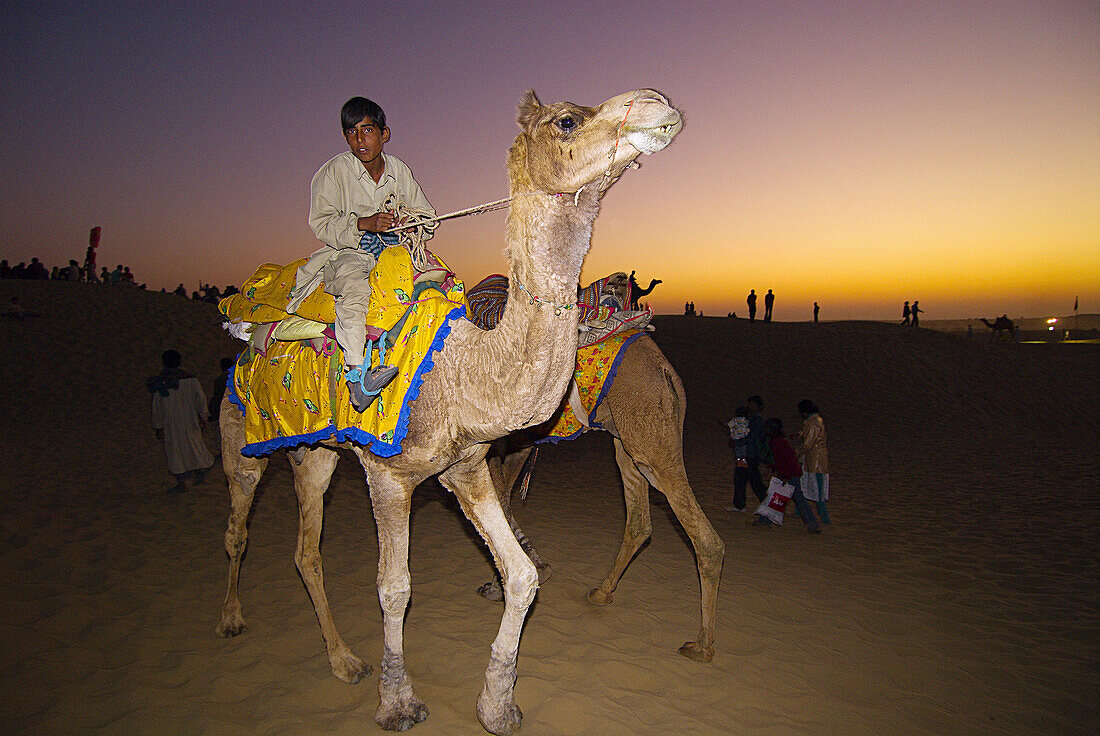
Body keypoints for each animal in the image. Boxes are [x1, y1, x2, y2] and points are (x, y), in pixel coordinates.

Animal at [212, 89, 677, 730]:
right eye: (567, 120)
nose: (658, 104)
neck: (462, 374)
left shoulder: (467, 467)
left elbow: (523, 575)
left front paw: (497, 705)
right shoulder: (388, 475)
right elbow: (394, 588)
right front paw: (398, 703)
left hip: (313, 453)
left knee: (306, 551)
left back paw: (343, 661)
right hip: (243, 435)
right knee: (238, 527)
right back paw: (233, 619)